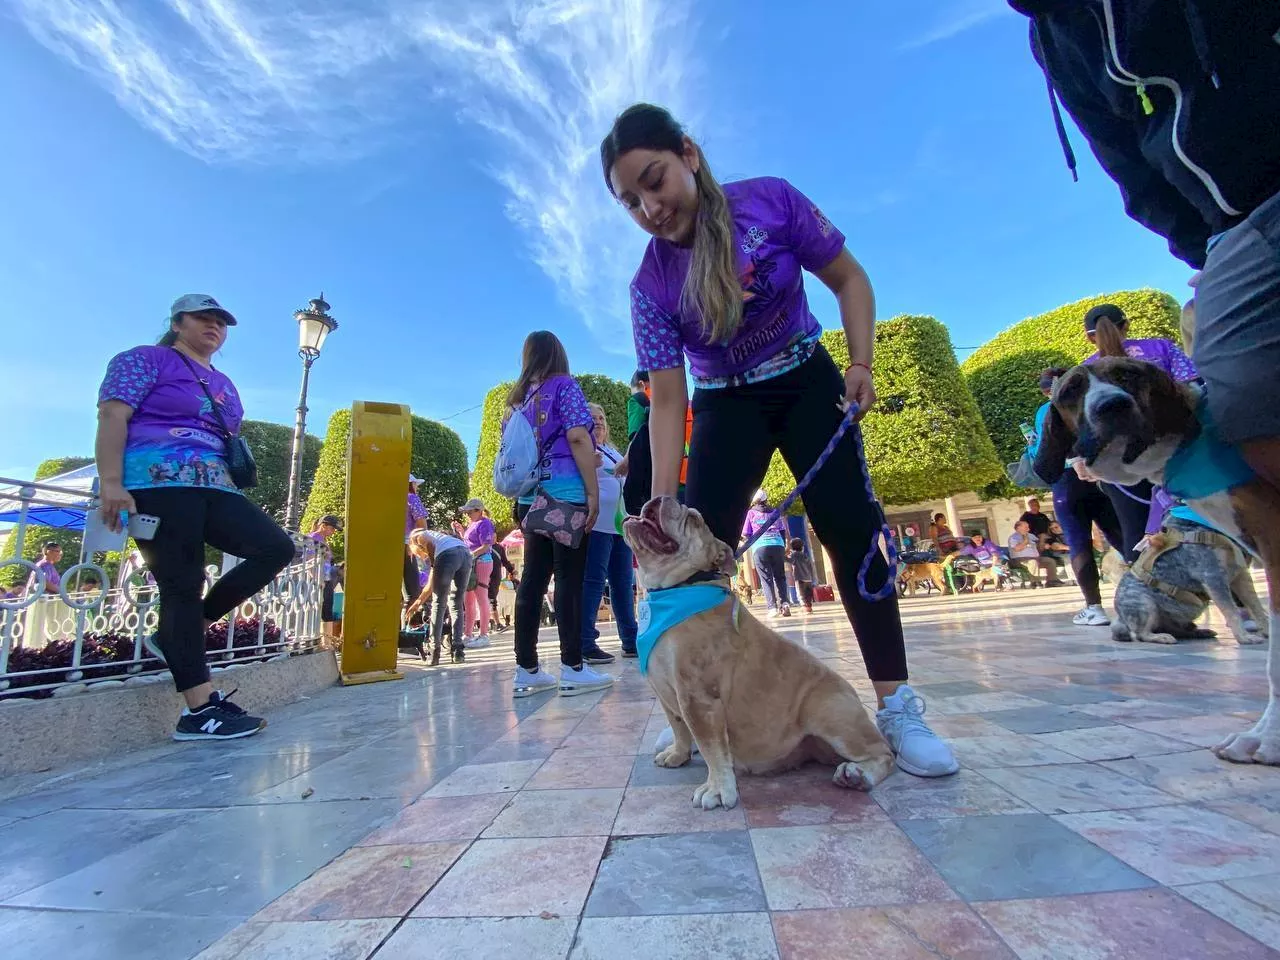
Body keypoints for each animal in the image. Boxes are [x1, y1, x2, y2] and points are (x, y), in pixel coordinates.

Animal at [619, 499, 890, 808]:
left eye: (694, 520)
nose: (662, 498)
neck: (679, 588)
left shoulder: (699, 698)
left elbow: (712, 750)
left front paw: (717, 789)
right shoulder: (666, 693)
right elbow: (679, 728)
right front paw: (678, 754)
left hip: (829, 711)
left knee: (884, 753)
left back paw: (858, 774)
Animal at [1029, 358, 1280, 773]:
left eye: (1129, 375)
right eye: (1071, 392)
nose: (1112, 406)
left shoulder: (1249, 562)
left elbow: (1260, 620)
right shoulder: (1236, 563)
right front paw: (1265, 738)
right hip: (1145, 604)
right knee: (1140, 632)